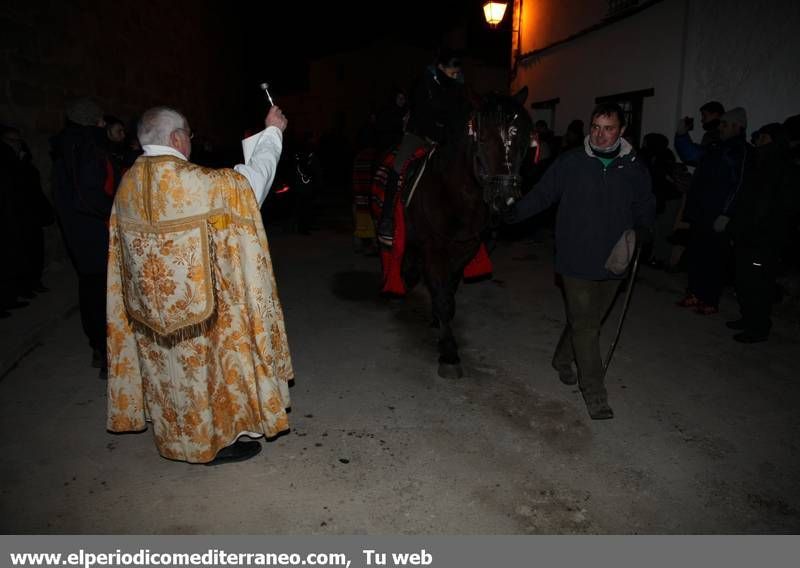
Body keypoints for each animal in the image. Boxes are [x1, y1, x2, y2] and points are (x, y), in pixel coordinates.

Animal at [388, 87, 532, 378]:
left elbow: (449, 291)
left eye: (523, 140)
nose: (506, 199)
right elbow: (442, 293)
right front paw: (449, 353)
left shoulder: (463, 250)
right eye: (483, 138)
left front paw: (439, 322)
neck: (453, 193)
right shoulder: (435, 249)